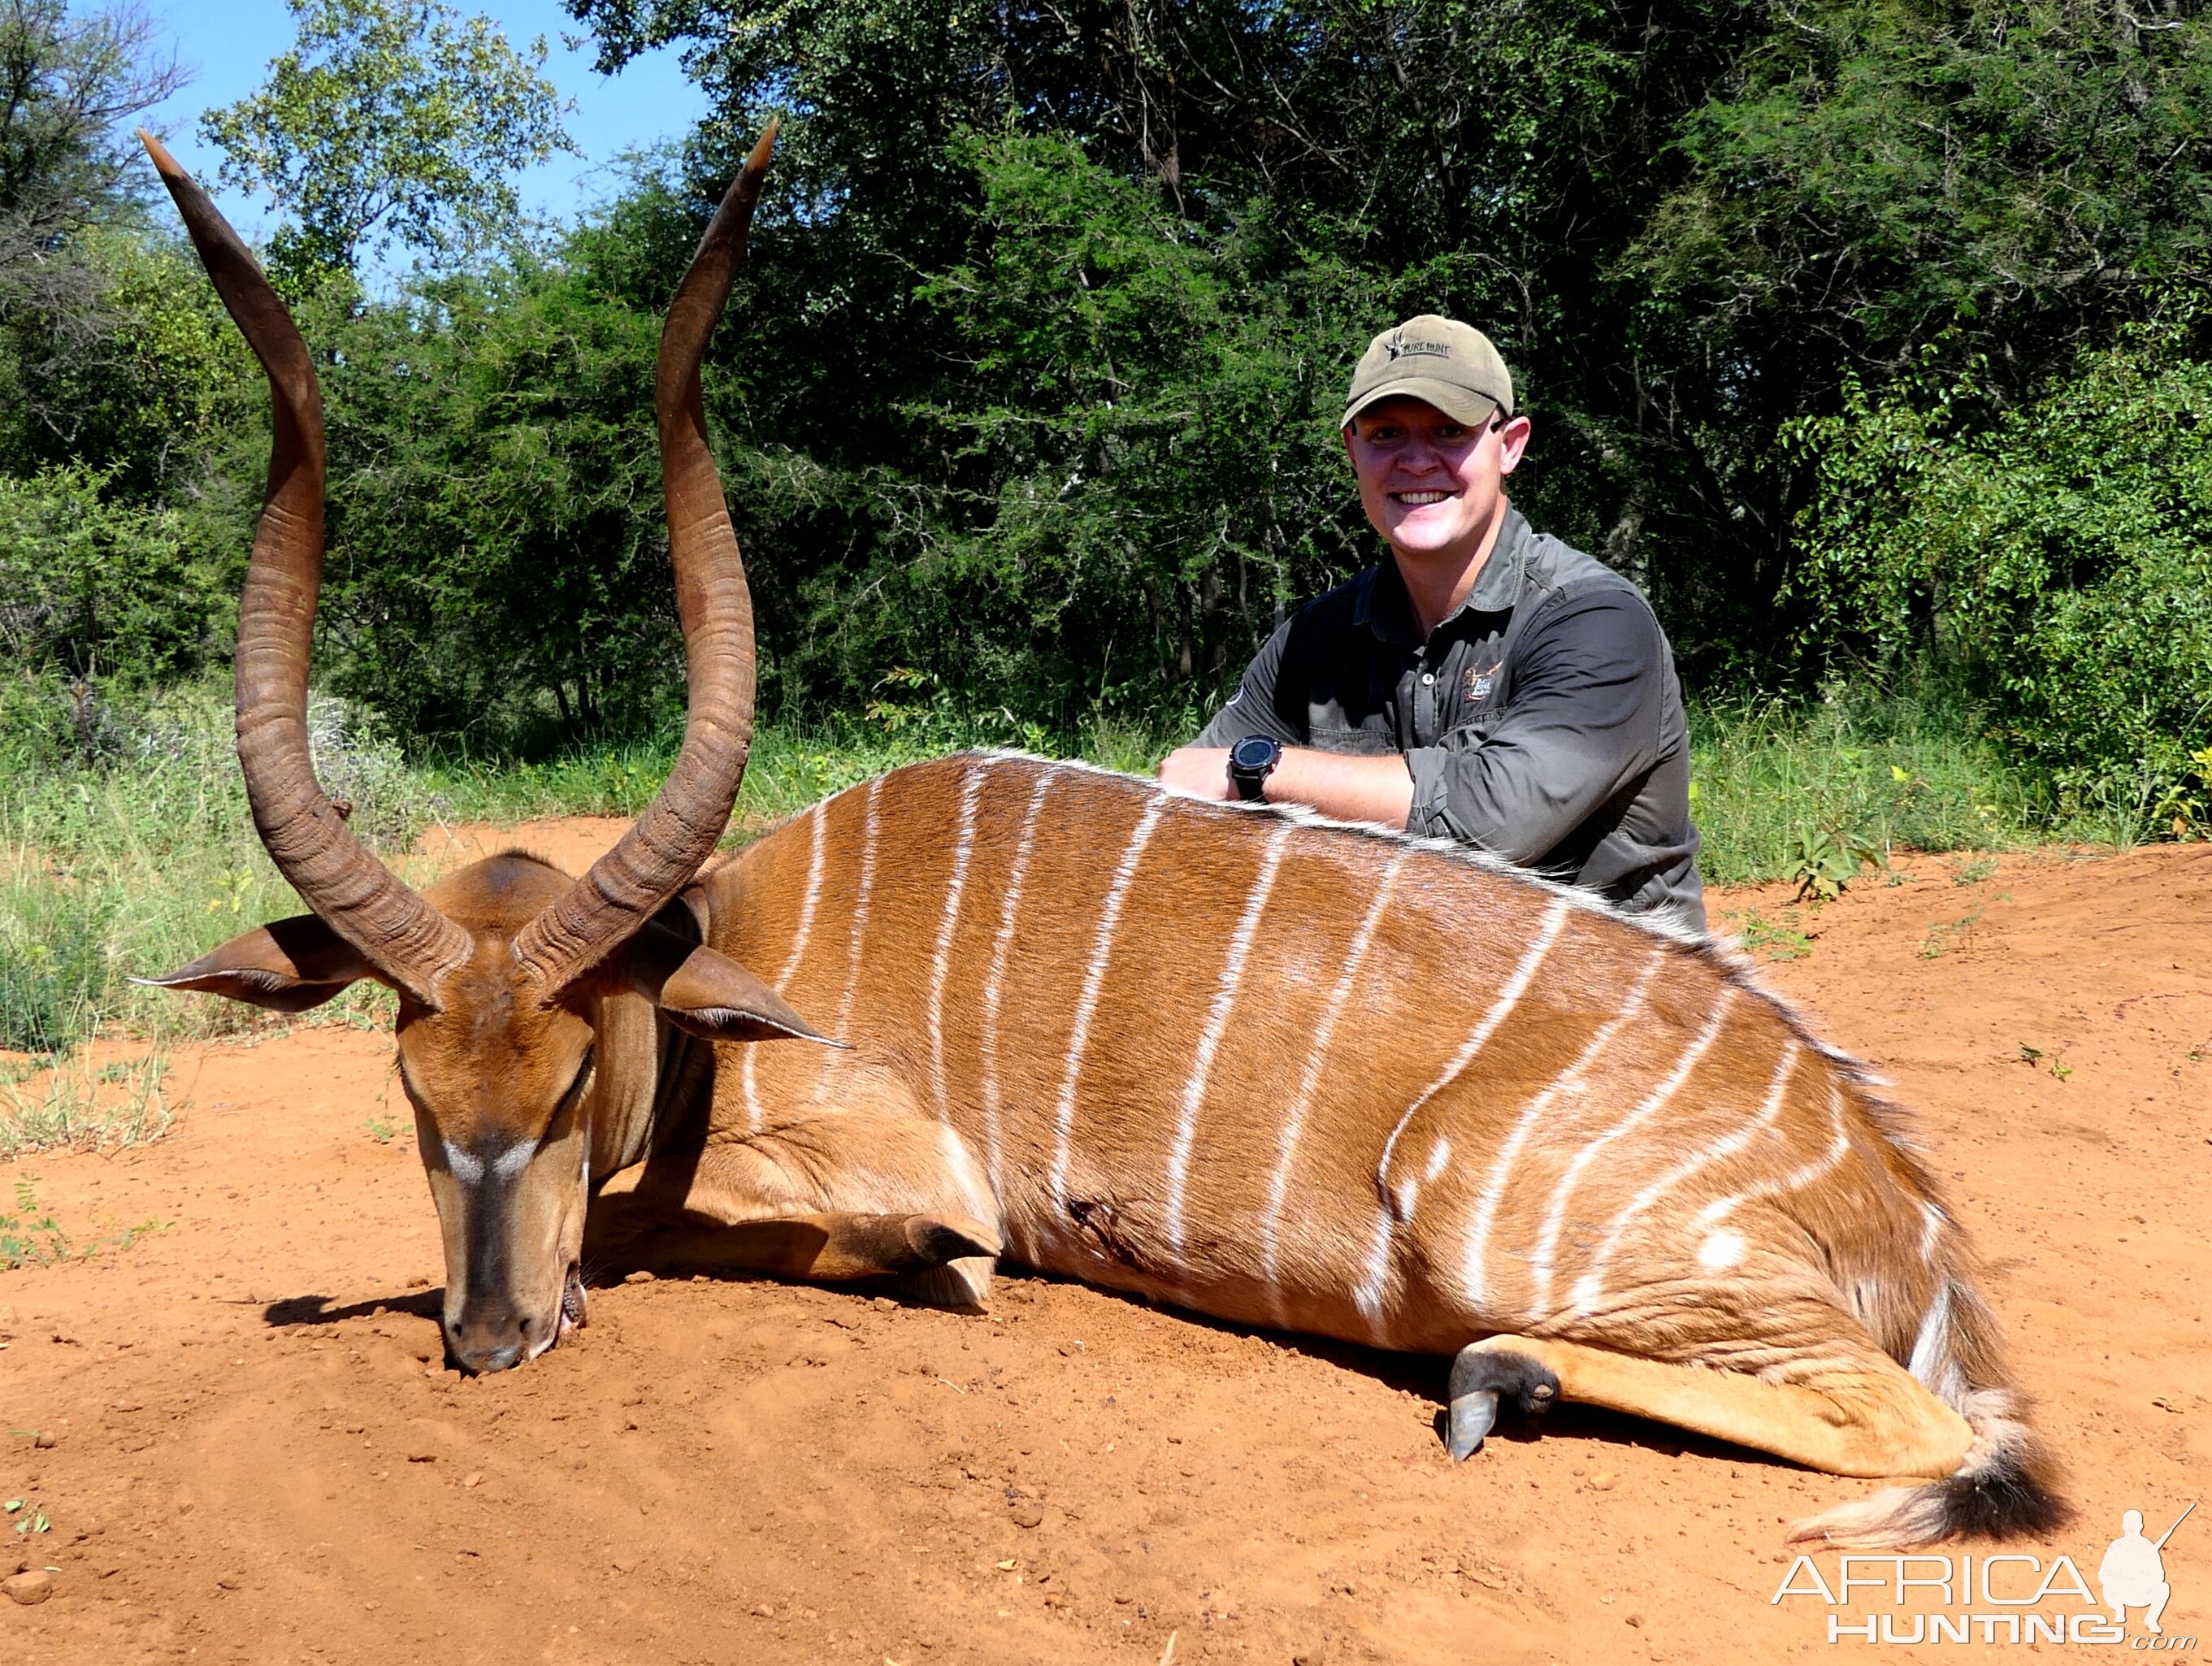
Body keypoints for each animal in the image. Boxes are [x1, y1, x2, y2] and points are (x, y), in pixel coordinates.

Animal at [147, 126, 2061, 1548]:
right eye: (410, 1092)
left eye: (563, 1091)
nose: (483, 1341)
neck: (725, 955)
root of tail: (1900, 1201)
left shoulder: (887, 1166)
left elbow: (707, 1230)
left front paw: (926, 1272)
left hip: (1497, 1224)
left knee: (1925, 1428)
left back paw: (1492, 1378)